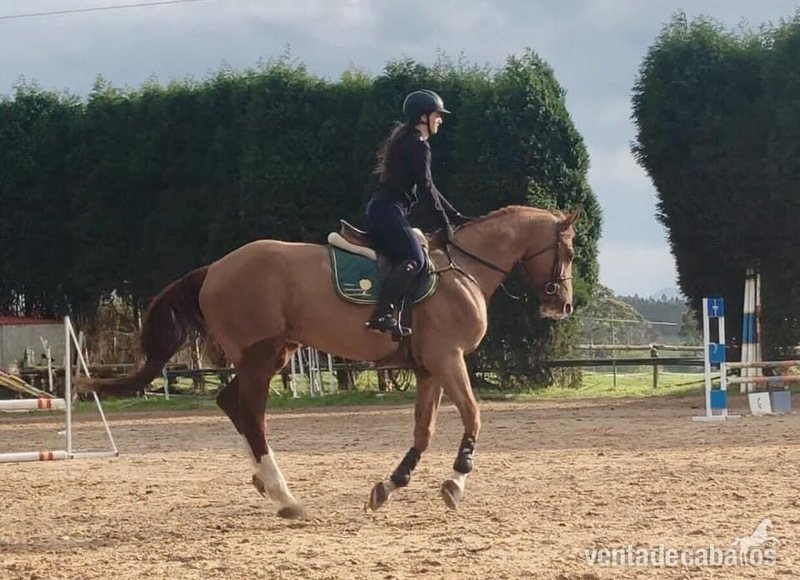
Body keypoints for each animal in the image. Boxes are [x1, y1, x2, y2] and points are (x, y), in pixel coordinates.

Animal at [80, 204, 580, 519]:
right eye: (571, 252)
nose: (564, 305)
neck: (463, 271)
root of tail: (215, 268)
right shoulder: (448, 358)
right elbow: (473, 415)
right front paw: (455, 484)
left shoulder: (431, 367)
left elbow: (423, 431)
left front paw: (388, 487)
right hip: (261, 355)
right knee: (250, 414)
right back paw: (284, 496)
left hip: (271, 353)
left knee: (231, 405)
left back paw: (263, 482)